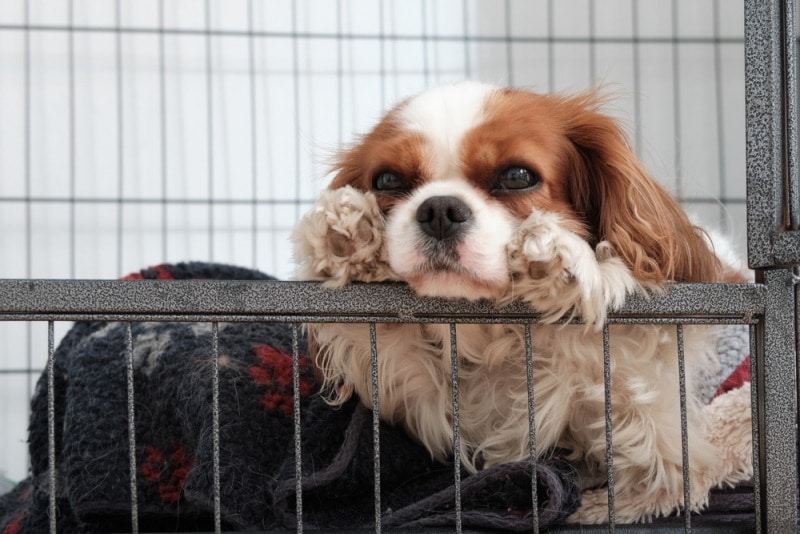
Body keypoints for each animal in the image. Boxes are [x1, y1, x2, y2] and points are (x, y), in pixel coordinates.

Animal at [290, 82, 752, 524]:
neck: (502, 335)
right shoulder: (436, 406)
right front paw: (348, 237)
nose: (439, 209)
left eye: (516, 176)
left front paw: (565, 262)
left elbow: (639, 421)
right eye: (387, 181)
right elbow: (389, 343)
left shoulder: (666, 434)